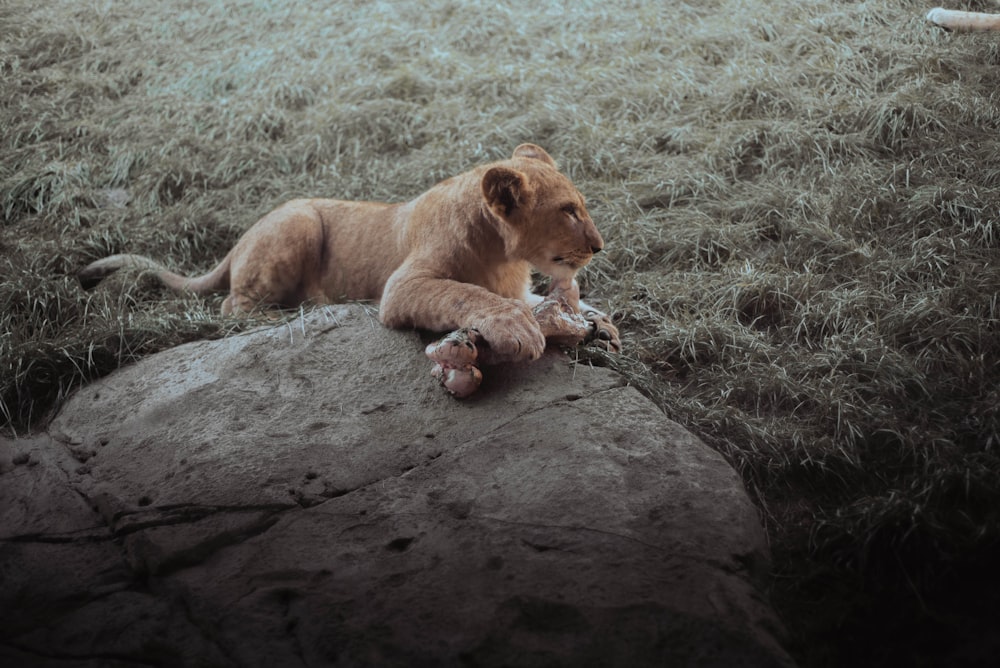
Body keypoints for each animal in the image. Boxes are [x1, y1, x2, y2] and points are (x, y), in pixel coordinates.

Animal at [82, 145, 620, 362]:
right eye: (569, 211)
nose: (599, 245)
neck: (506, 255)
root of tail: (239, 238)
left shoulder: (519, 287)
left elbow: (539, 301)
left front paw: (597, 321)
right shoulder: (401, 287)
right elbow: (467, 294)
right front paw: (517, 328)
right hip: (298, 221)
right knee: (231, 304)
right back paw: (292, 312)